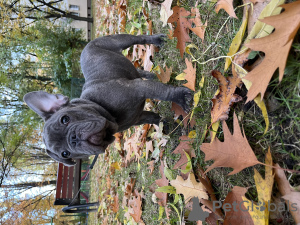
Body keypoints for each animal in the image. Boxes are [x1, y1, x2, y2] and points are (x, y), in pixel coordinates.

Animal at [24, 34, 192, 166]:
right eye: (65, 154)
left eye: (65, 119)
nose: (73, 139)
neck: (106, 112)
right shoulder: (139, 117)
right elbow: (154, 118)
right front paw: (166, 126)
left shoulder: (138, 88)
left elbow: (163, 92)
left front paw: (180, 98)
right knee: (138, 72)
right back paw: (151, 74)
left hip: (118, 41)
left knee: (139, 38)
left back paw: (157, 40)